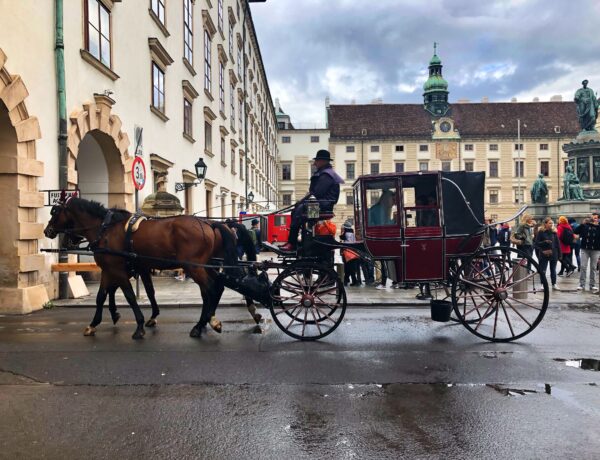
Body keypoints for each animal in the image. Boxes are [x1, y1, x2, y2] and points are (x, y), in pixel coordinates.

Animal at [44, 196, 239, 340]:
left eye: (55, 212)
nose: (47, 231)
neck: (106, 230)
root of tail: (209, 223)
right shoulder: (111, 270)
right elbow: (102, 296)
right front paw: (93, 324)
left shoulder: (118, 271)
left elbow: (130, 296)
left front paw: (138, 325)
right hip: (206, 265)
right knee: (216, 287)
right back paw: (207, 322)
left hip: (193, 267)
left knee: (209, 289)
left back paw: (202, 325)